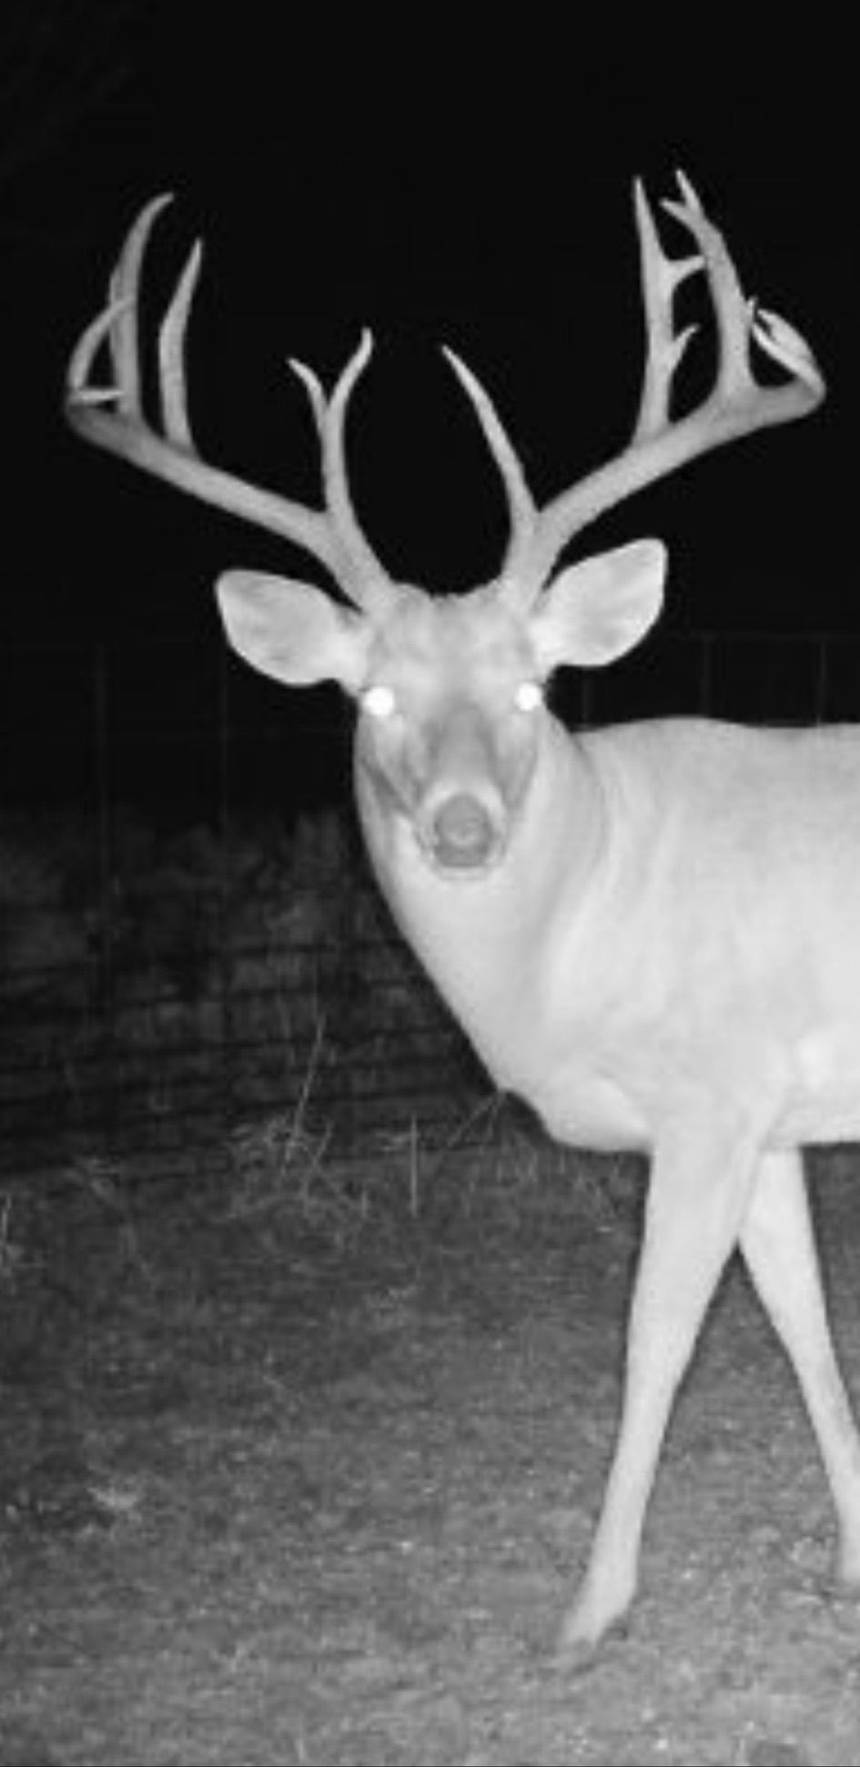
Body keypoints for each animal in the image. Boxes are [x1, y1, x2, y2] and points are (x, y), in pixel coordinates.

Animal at [65, 170, 860, 1665]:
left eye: (535, 688)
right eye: (371, 695)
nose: (461, 827)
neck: (584, 935)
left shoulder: (711, 1092)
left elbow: (656, 1339)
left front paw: (587, 1610)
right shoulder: (769, 1112)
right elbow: (800, 1322)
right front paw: (853, 1557)